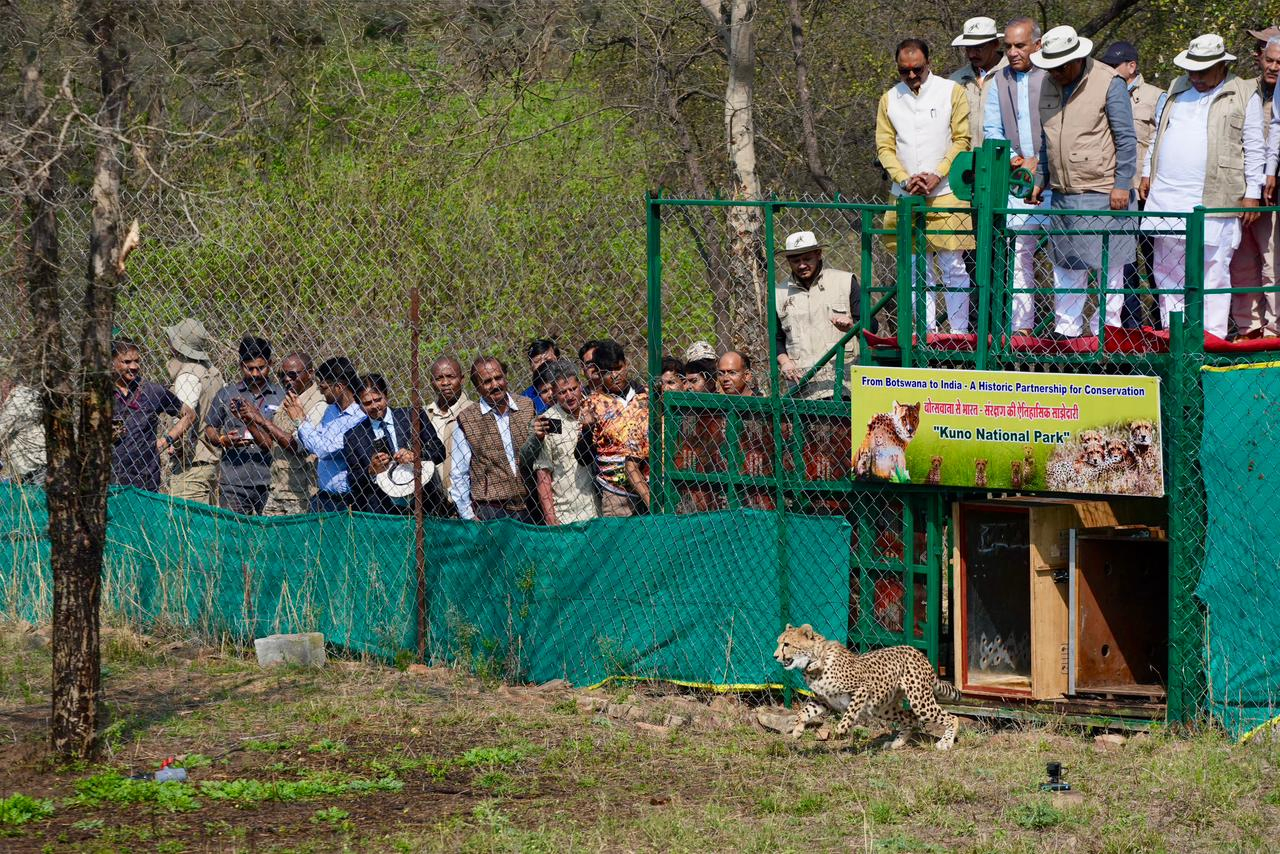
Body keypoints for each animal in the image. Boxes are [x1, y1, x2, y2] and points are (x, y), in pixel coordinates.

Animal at [773, 624, 961, 750]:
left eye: (786, 644)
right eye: (779, 642)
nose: (775, 656)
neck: (813, 663)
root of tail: (918, 652)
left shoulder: (863, 687)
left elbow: (850, 711)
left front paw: (841, 730)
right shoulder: (823, 700)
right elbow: (803, 712)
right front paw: (797, 730)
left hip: (919, 701)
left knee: (952, 717)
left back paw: (945, 742)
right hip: (882, 708)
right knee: (910, 718)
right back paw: (897, 742)